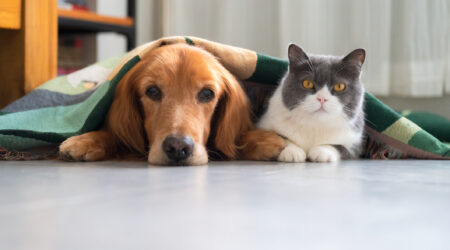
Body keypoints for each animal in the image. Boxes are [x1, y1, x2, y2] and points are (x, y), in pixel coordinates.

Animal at [59, 43, 284, 164]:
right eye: (152, 91)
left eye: (207, 93)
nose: (178, 148)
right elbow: (113, 135)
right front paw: (85, 141)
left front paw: (264, 140)